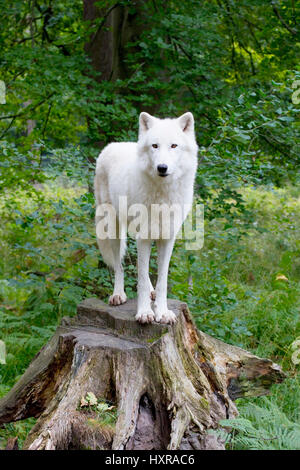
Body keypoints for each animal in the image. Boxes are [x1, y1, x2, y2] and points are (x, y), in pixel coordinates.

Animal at [95, 111, 198, 324]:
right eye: (155, 146)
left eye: (174, 145)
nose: (162, 167)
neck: (162, 195)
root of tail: (111, 145)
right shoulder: (144, 237)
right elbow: (141, 278)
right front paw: (144, 312)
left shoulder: (167, 238)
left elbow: (162, 280)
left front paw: (163, 312)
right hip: (114, 230)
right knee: (119, 265)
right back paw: (118, 294)